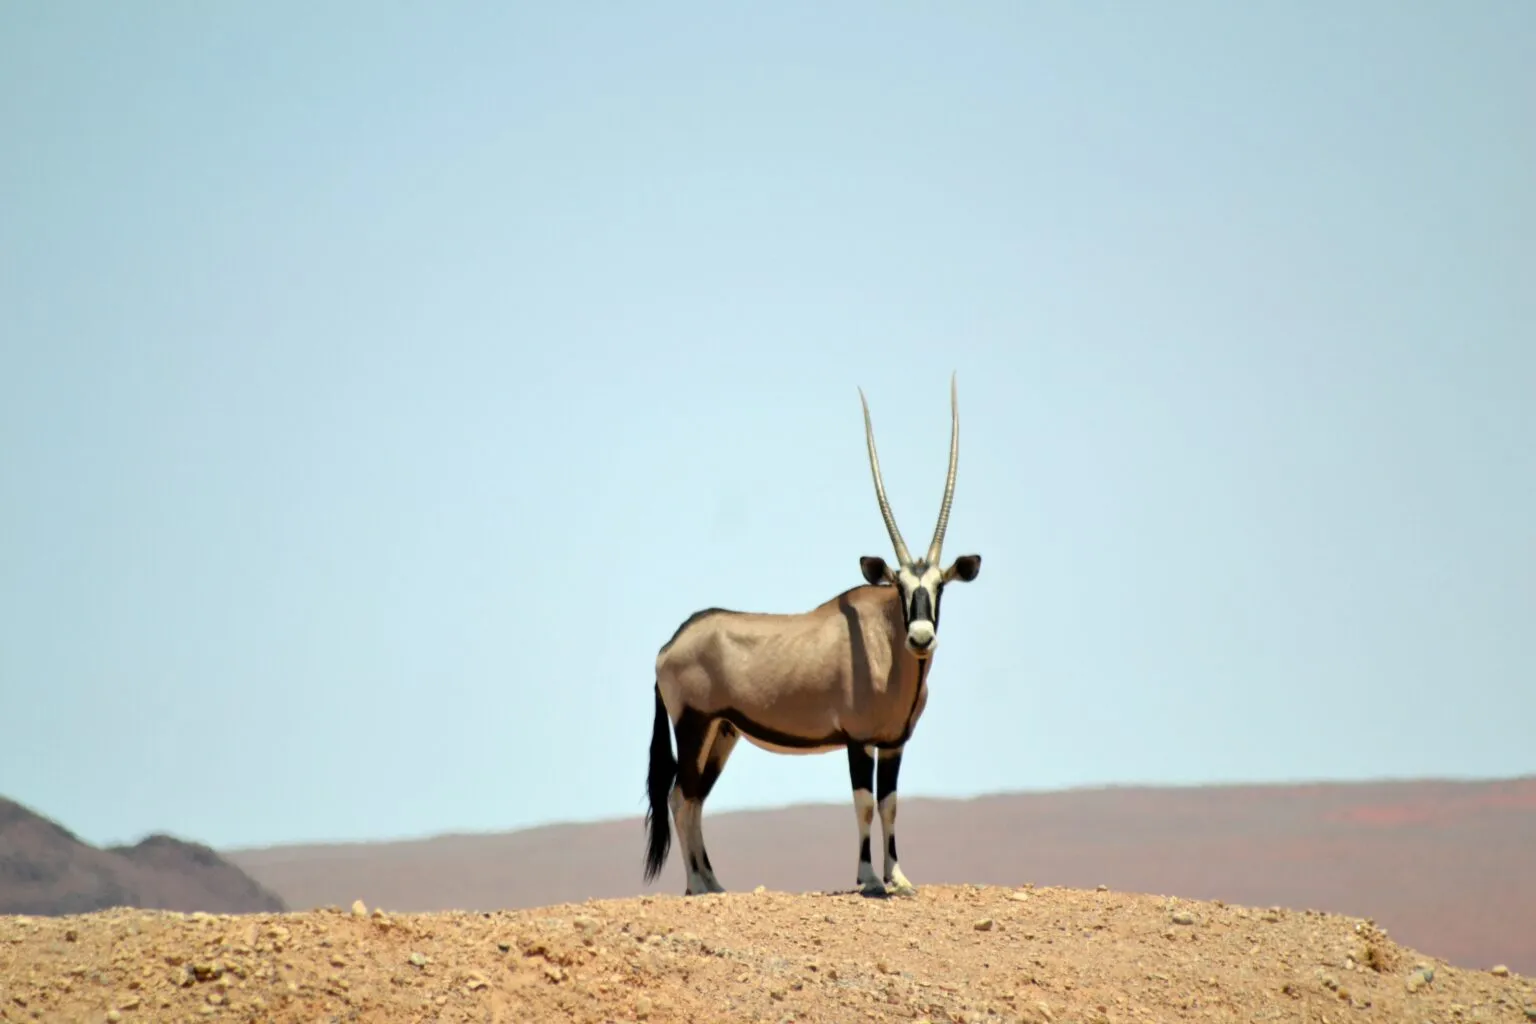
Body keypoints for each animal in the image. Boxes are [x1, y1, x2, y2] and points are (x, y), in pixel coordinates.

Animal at [642, 375, 982, 897]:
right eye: (899, 586)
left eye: (939, 586)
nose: (921, 637)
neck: (885, 646)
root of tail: (669, 645)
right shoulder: (859, 739)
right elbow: (865, 803)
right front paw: (869, 879)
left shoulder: (894, 742)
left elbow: (890, 803)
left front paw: (899, 877)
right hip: (694, 726)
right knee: (681, 797)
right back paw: (700, 885)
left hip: (722, 734)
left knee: (693, 799)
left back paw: (712, 882)